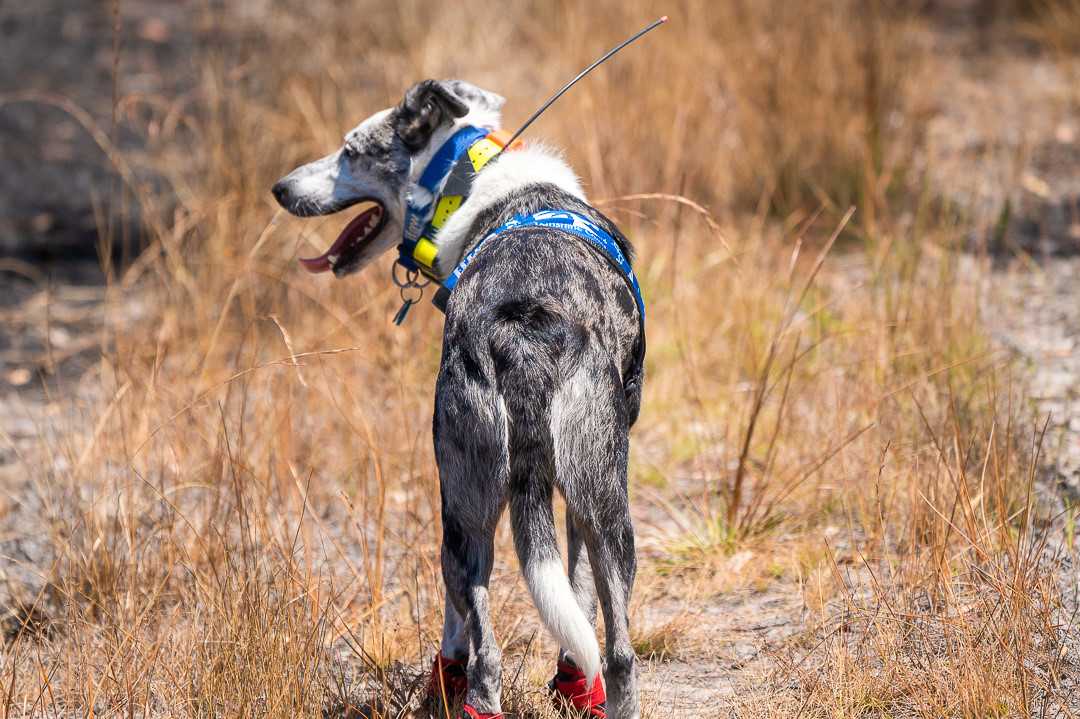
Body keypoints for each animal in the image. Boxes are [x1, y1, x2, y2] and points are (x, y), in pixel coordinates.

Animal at [274, 78, 643, 716]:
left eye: (350, 150)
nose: (280, 189)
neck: (474, 179)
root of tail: (521, 330)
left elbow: (530, 611)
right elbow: (571, 606)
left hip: (479, 508)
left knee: (500, 653)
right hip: (575, 507)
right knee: (576, 650)